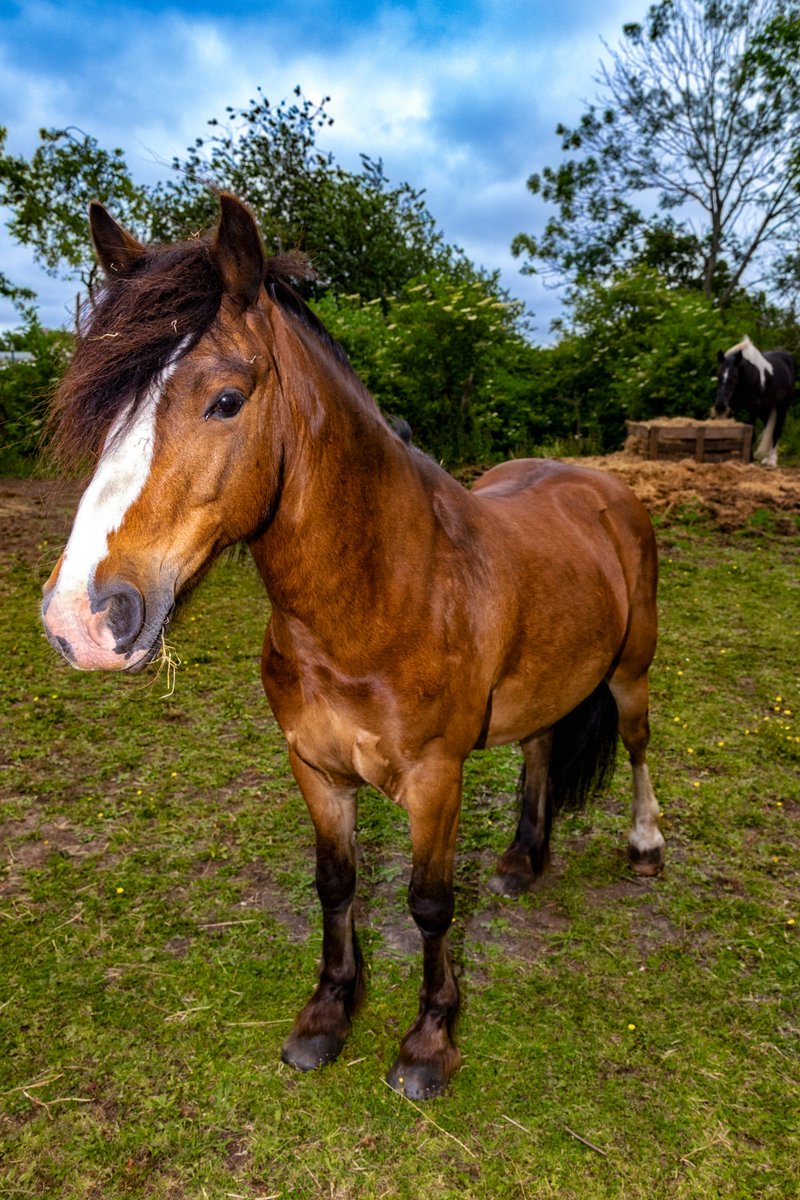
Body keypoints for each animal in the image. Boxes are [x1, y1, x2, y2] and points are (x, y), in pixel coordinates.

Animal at [41, 193, 664, 1100]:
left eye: (225, 399)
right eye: (104, 412)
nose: (81, 621)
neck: (377, 601)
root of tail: (602, 484)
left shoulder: (436, 780)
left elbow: (430, 903)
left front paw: (429, 1042)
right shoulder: (313, 765)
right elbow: (335, 884)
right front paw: (329, 1013)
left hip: (632, 667)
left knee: (641, 742)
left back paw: (646, 848)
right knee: (543, 744)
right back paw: (522, 860)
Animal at [714, 335, 796, 467]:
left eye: (734, 376)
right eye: (718, 375)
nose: (720, 406)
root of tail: (788, 358)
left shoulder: (753, 409)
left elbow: (752, 433)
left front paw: (749, 459)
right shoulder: (731, 407)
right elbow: (729, 433)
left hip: (782, 408)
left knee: (777, 430)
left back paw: (772, 460)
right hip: (765, 409)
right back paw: (766, 458)